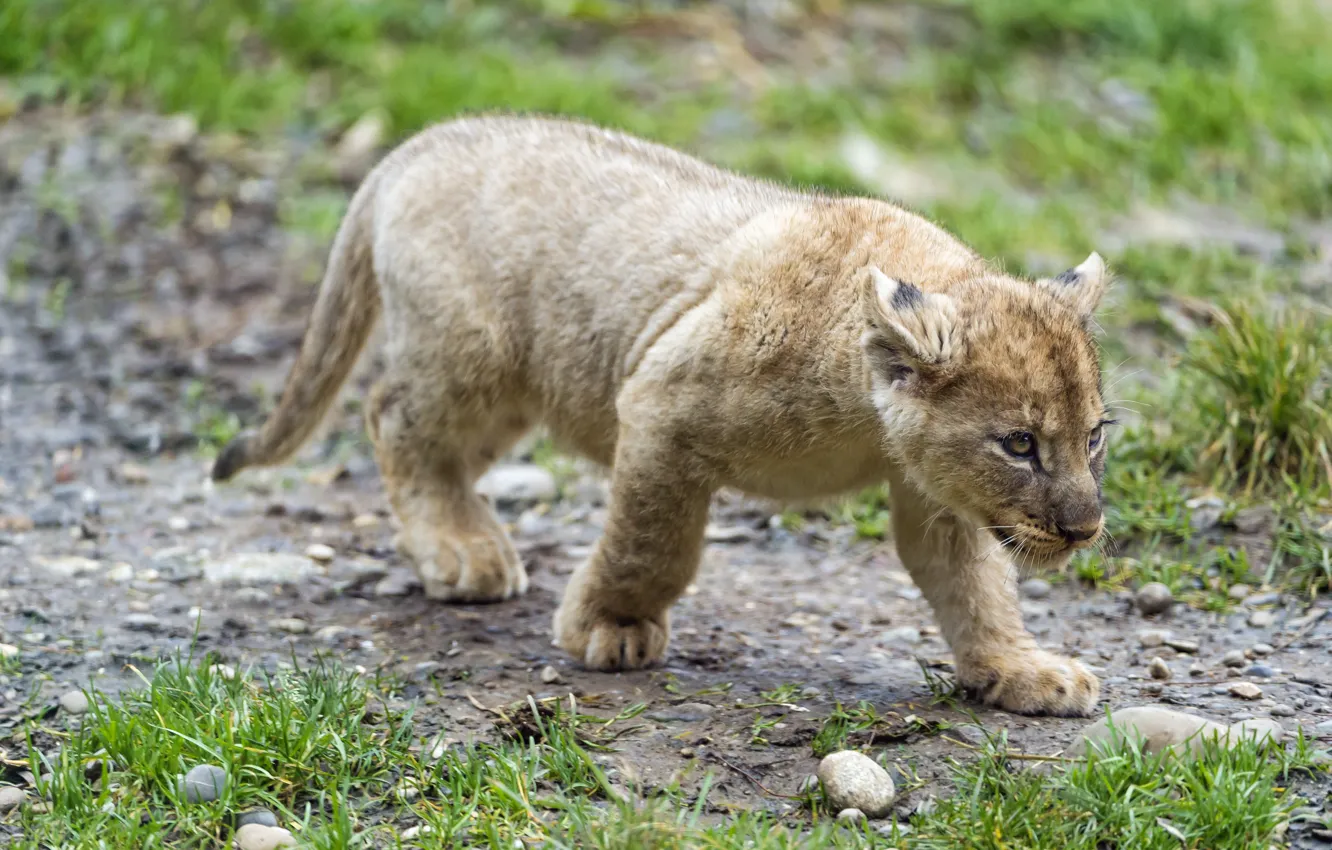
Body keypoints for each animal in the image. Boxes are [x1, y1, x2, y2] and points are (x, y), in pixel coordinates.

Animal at [212, 114, 1113, 716]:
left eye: (1095, 437)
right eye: (1020, 444)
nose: (1084, 529)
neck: (863, 411)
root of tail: (420, 143)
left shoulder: (939, 494)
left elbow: (976, 586)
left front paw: (1020, 670)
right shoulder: (660, 405)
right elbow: (652, 540)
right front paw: (609, 625)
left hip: (511, 385)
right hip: (471, 355)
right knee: (390, 415)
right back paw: (464, 552)